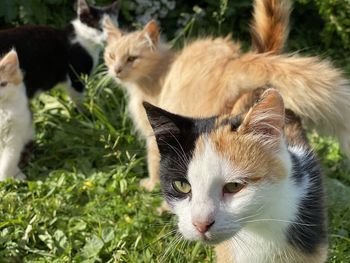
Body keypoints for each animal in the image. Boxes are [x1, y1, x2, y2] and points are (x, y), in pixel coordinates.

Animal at [104, 0, 350, 192]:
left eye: (132, 58)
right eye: (111, 55)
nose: (116, 70)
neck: (161, 72)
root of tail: (236, 64)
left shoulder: (155, 134)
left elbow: (155, 162)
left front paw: (151, 186)